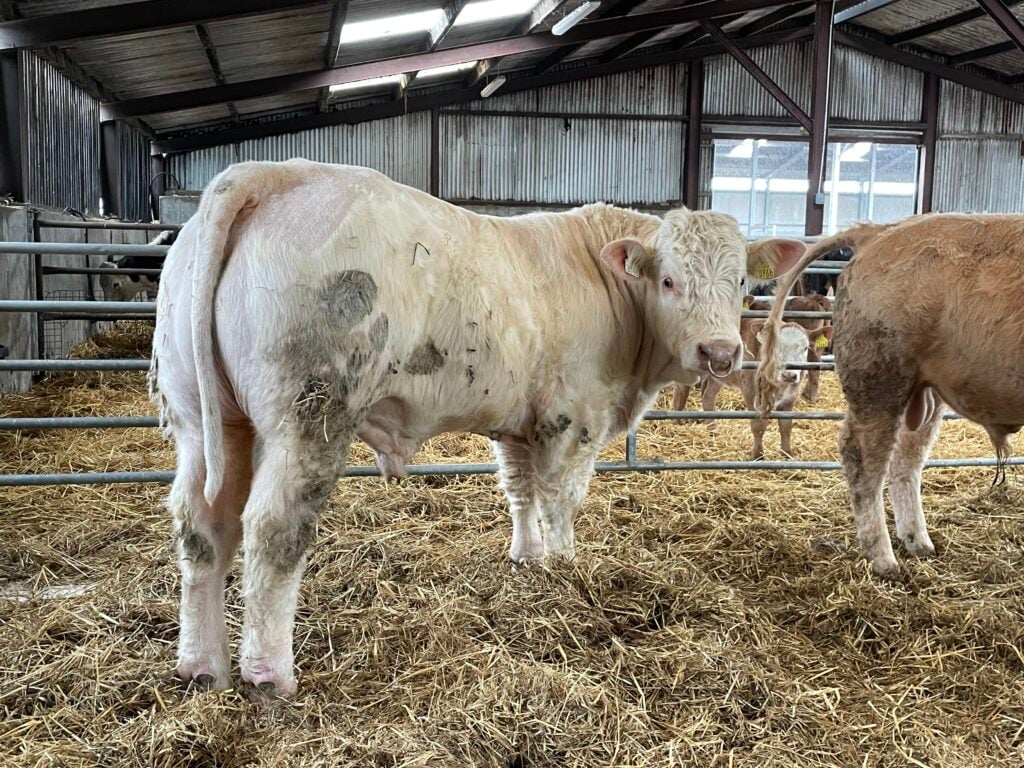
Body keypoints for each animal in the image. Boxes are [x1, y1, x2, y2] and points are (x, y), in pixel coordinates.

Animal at [149, 159, 806, 696]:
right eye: (669, 280)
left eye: (742, 282)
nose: (720, 352)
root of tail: (269, 173)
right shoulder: (574, 416)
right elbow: (561, 497)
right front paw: (565, 566)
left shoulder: (519, 423)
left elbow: (521, 491)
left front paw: (527, 558)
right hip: (310, 415)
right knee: (273, 530)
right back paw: (269, 676)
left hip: (201, 417)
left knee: (202, 525)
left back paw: (202, 667)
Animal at [672, 315, 830, 459]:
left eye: (805, 348)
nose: (789, 375)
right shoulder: (751, 391)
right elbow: (758, 425)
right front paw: (757, 455)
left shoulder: (790, 397)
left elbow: (786, 427)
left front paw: (787, 455)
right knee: (681, 391)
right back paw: (677, 422)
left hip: (717, 377)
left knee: (707, 397)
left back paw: (713, 433)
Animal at [754, 215, 1024, 578]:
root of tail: (877, 232)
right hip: (880, 384)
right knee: (863, 459)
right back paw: (884, 559)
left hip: (923, 393)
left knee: (906, 460)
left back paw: (918, 543)